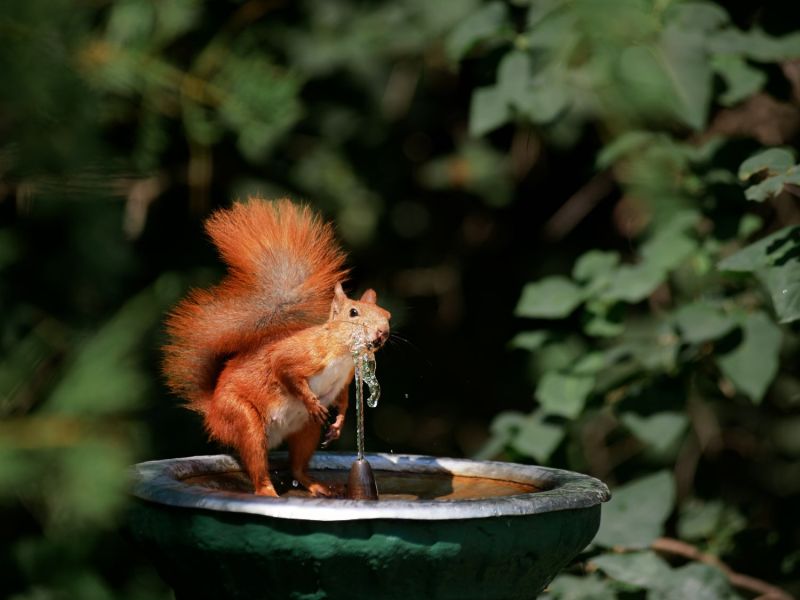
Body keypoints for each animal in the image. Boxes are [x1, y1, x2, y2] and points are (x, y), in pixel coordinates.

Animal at [162, 198, 391, 497]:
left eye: (387, 315)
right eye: (353, 313)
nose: (382, 333)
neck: (340, 355)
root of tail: (212, 411)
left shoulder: (344, 380)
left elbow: (342, 401)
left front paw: (338, 424)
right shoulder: (301, 354)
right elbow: (284, 368)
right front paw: (311, 401)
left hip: (305, 430)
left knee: (297, 467)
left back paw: (316, 485)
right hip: (243, 419)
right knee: (257, 465)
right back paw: (268, 491)